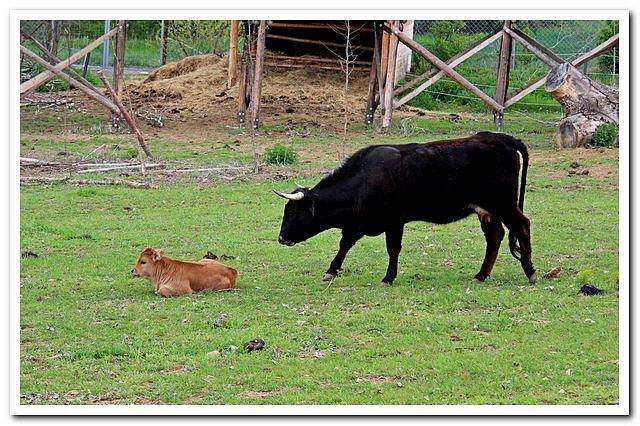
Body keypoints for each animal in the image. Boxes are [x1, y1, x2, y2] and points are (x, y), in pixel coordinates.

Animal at [274, 132, 536, 286]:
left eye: (294, 212)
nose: (281, 238)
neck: (366, 177)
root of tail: (500, 138)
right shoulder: (359, 223)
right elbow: (345, 244)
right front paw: (332, 270)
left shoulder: (394, 221)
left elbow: (392, 249)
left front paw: (388, 277)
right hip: (488, 210)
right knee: (495, 237)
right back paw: (481, 275)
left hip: (504, 204)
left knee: (522, 226)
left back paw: (530, 272)